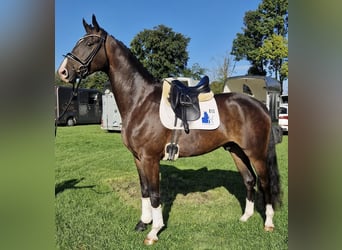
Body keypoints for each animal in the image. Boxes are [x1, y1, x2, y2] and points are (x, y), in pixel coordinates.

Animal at [56, 15, 280, 244]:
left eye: (90, 43)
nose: (63, 71)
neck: (140, 101)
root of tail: (259, 105)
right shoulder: (138, 158)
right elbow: (145, 190)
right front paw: (143, 223)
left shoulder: (150, 158)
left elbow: (155, 194)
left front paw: (154, 231)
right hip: (236, 150)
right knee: (249, 180)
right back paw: (246, 217)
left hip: (256, 153)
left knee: (265, 183)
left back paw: (268, 223)